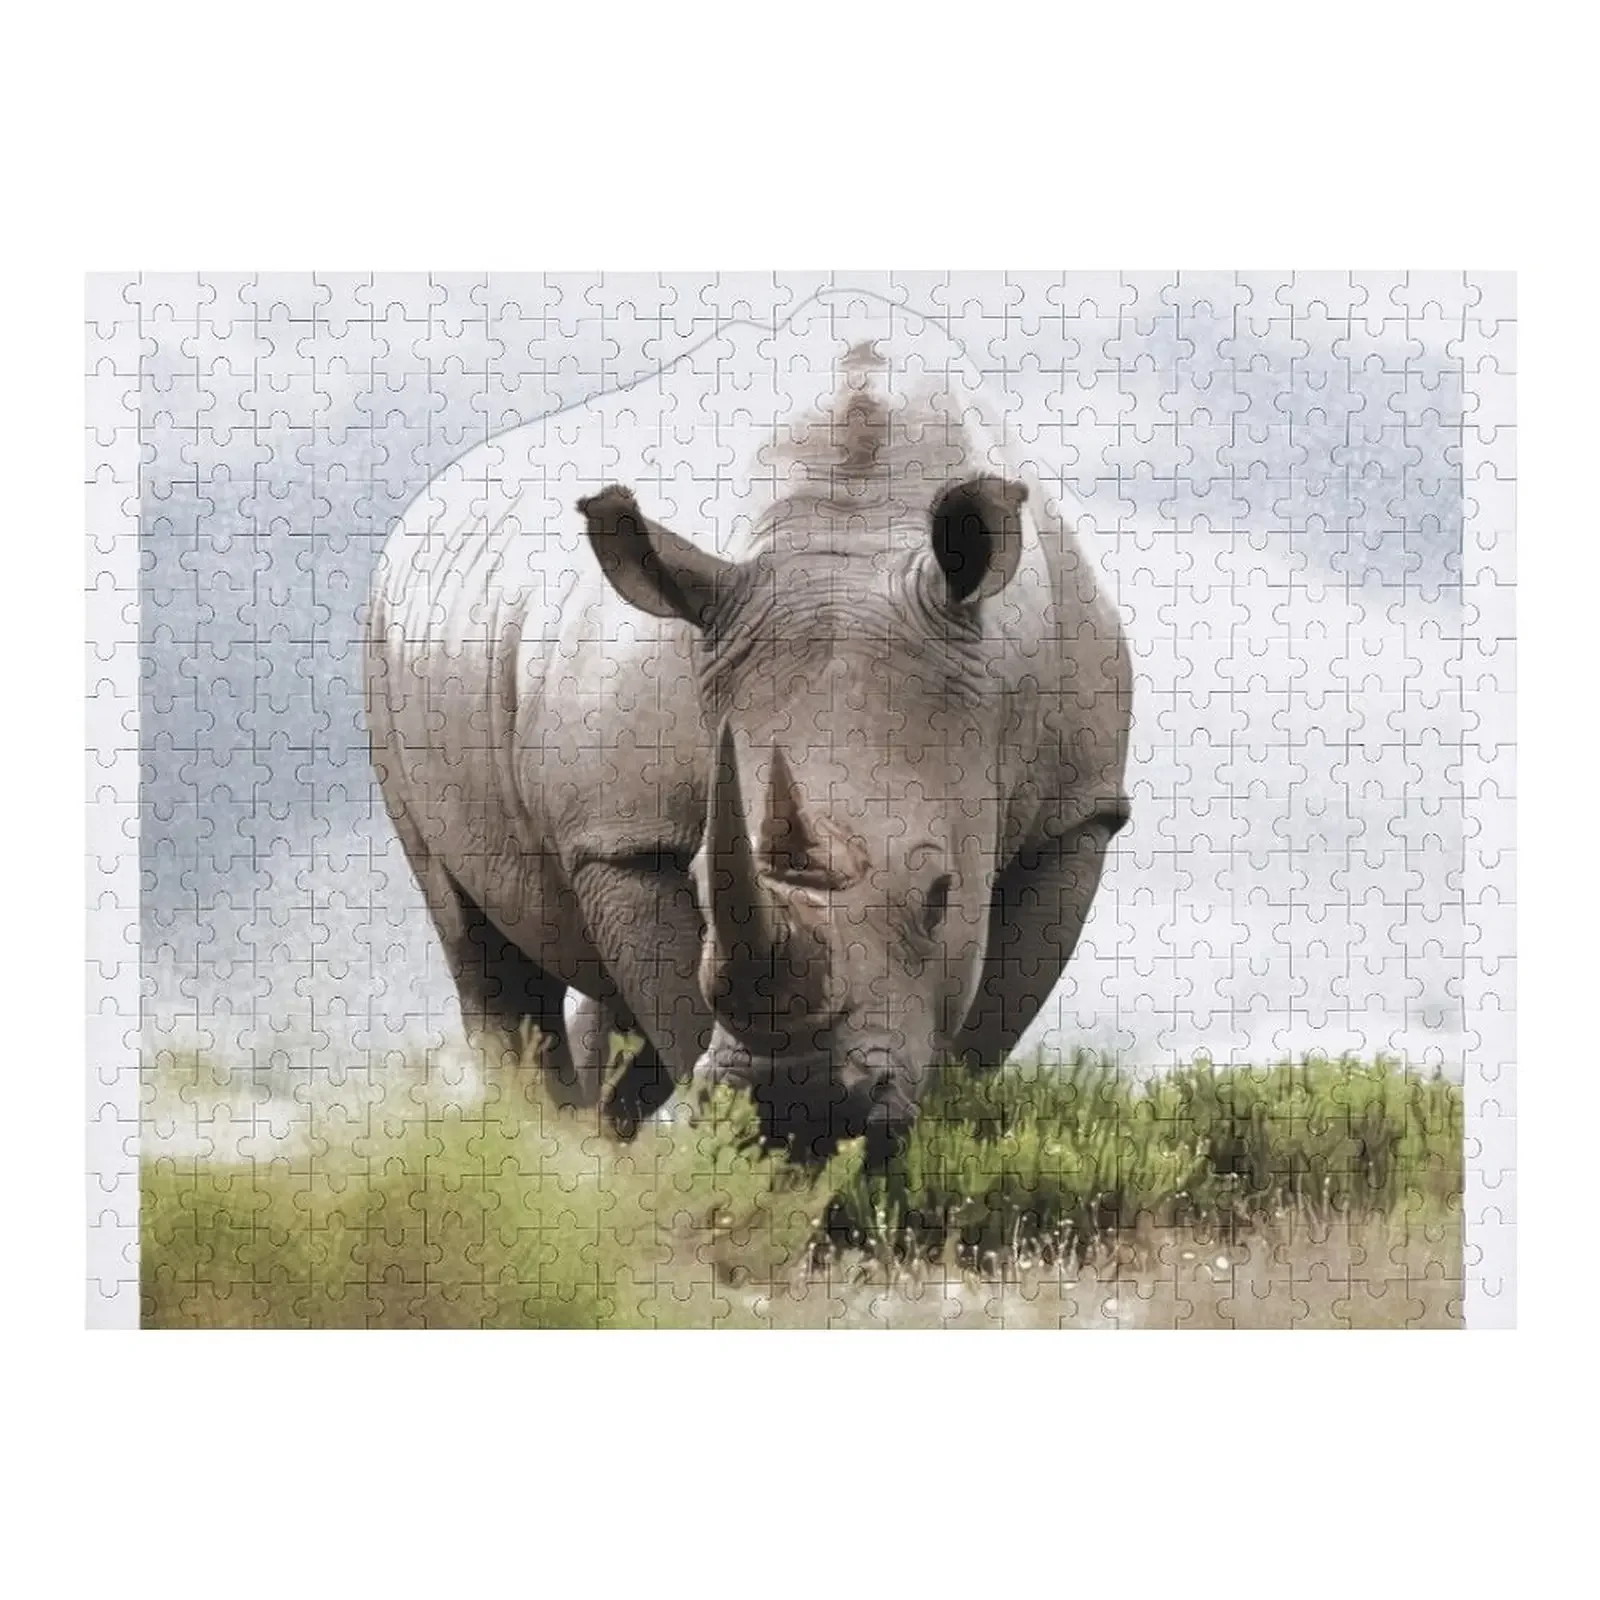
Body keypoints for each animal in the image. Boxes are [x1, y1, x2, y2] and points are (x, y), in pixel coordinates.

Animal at [366, 320, 1131, 1159]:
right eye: (699, 887)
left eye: (940, 894)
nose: (799, 1105)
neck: (853, 530)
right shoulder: (625, 836)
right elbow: (682, 1008)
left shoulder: (1077, 814)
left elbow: (985, 1030)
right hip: (385, 645)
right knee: (473, 942)